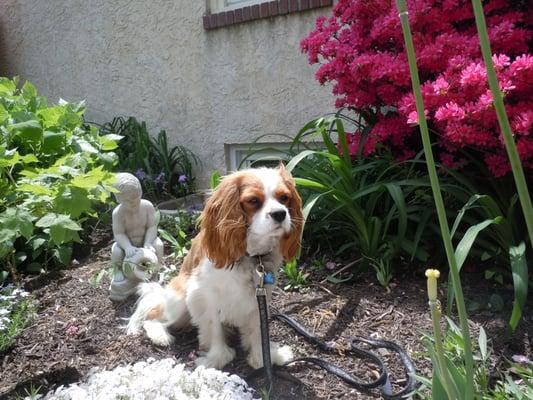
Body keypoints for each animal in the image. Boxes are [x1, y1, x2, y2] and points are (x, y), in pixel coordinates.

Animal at [125, 166, 304, 368]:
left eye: (285, 197)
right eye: (253, 200)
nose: (280, 213)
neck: (251, 256)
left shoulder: (259, 296)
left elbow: (258, 328)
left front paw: (264, 356)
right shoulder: (204, 296)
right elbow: (214, 328)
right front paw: (216, 358)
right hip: (180, 299)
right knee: (154, 317)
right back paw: (160, 335)